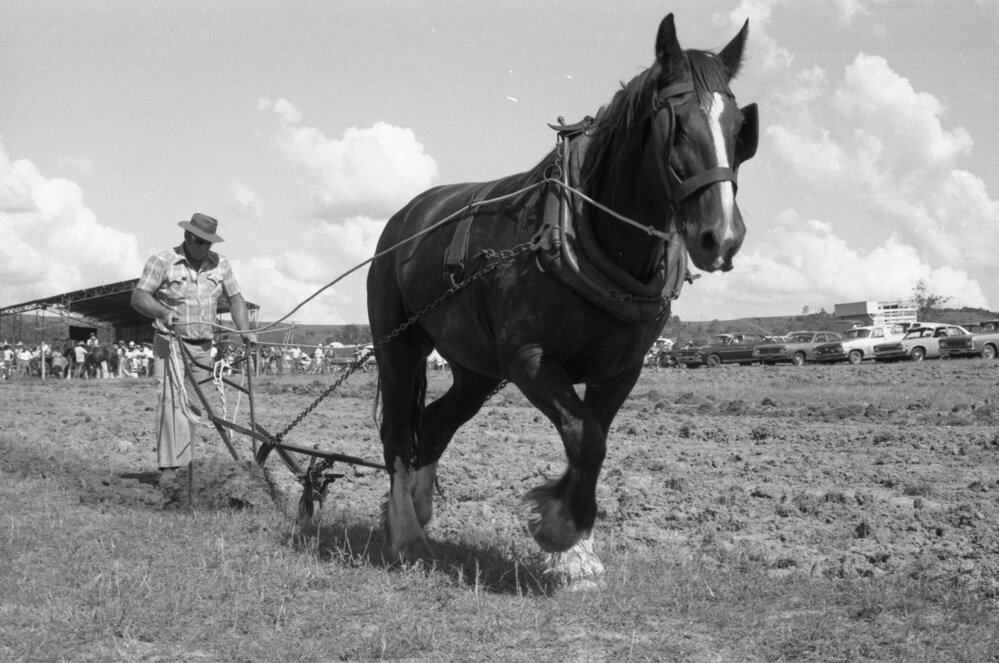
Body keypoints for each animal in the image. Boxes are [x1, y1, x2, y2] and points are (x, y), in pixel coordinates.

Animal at [366, 14, 757, 587]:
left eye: (738, 131)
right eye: (678, 126)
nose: (722, 237)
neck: (591, 236)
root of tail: (405, 218)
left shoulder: (620, 371)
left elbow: (591, 443)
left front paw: (577, 550)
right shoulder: (529, 359)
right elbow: (585, 438)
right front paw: (558, 531)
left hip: (475, 368)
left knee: (434, 424)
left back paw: (417, 511)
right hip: (400, 348)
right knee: (397, 432)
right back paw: (407, 536)